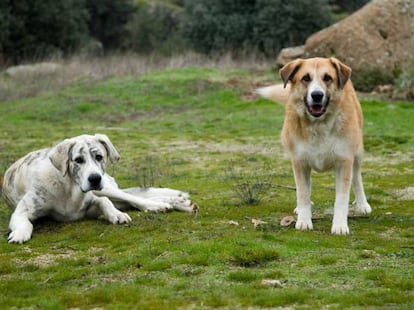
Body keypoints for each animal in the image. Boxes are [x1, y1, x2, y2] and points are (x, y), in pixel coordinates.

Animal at [2, 134, 199, 243]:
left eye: (99, 157)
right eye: (78, 160)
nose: (95, 178)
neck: (69, 190)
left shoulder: (93, 200)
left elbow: (105, 203)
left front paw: (116, 216)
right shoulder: (22, 211)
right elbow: (24, 222)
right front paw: (19, 234)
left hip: (106, 188)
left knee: (133, 198)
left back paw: (165, 204)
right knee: (131, 200)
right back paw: (176, 202)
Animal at [258, 57, 372, 234]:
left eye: (327, 78)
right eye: (306, 78)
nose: (317, 95)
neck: (319, 125)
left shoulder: (344, 161)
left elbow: (341, 198)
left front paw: (340, 225)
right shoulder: (300, 162)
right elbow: (303, 193)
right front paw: (304, 220)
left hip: (358, 152)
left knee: (357, 176)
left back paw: (362, 204)